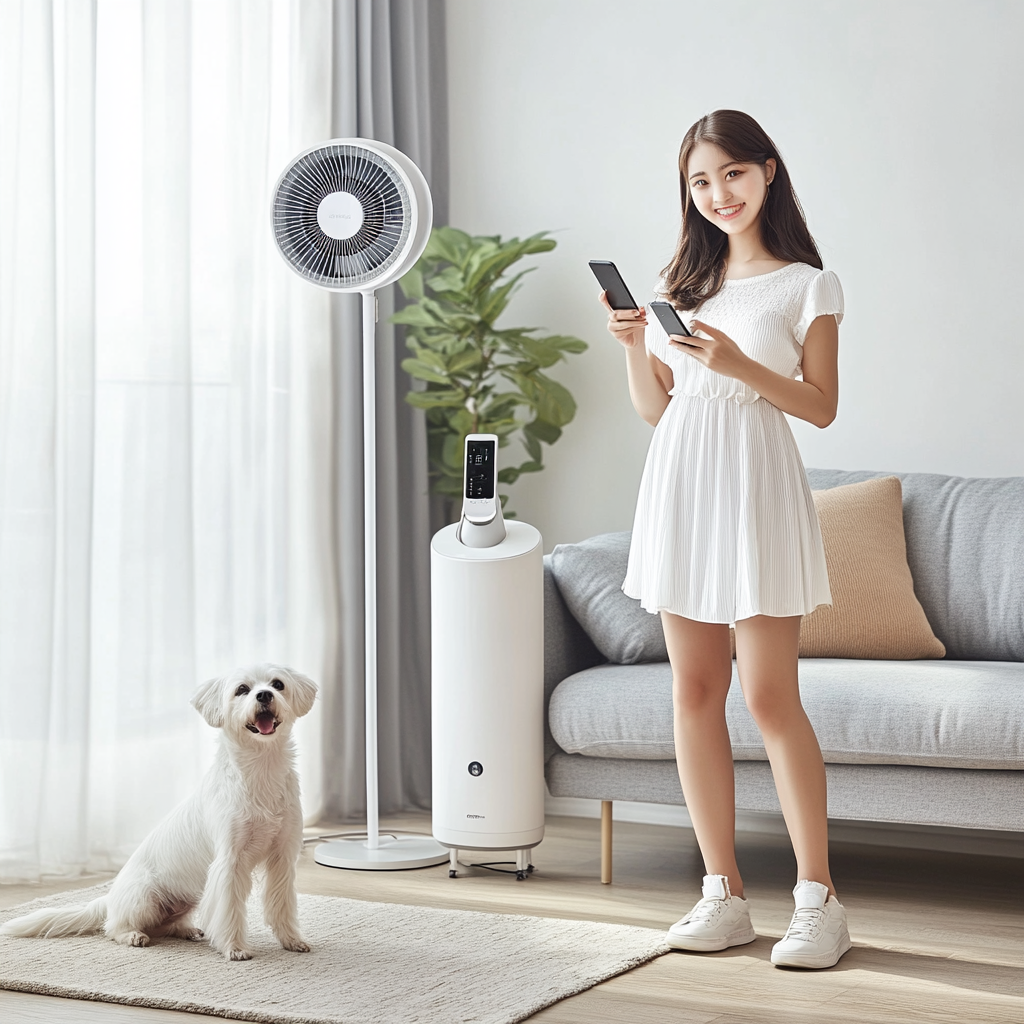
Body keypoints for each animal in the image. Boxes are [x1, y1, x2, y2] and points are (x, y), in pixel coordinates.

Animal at [2, 663, 315, 958]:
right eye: (242, 689)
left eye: (277, 684)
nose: (264, 695)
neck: (261, 769)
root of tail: (110, 898)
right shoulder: (230, 861)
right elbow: (229, 911)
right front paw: (234, 948)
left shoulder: (282, 857)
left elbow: (282, 905)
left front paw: (292, 940)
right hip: (144, 898)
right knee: (113, 927)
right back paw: (133, 935)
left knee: (165, 925)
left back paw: (188, 930)